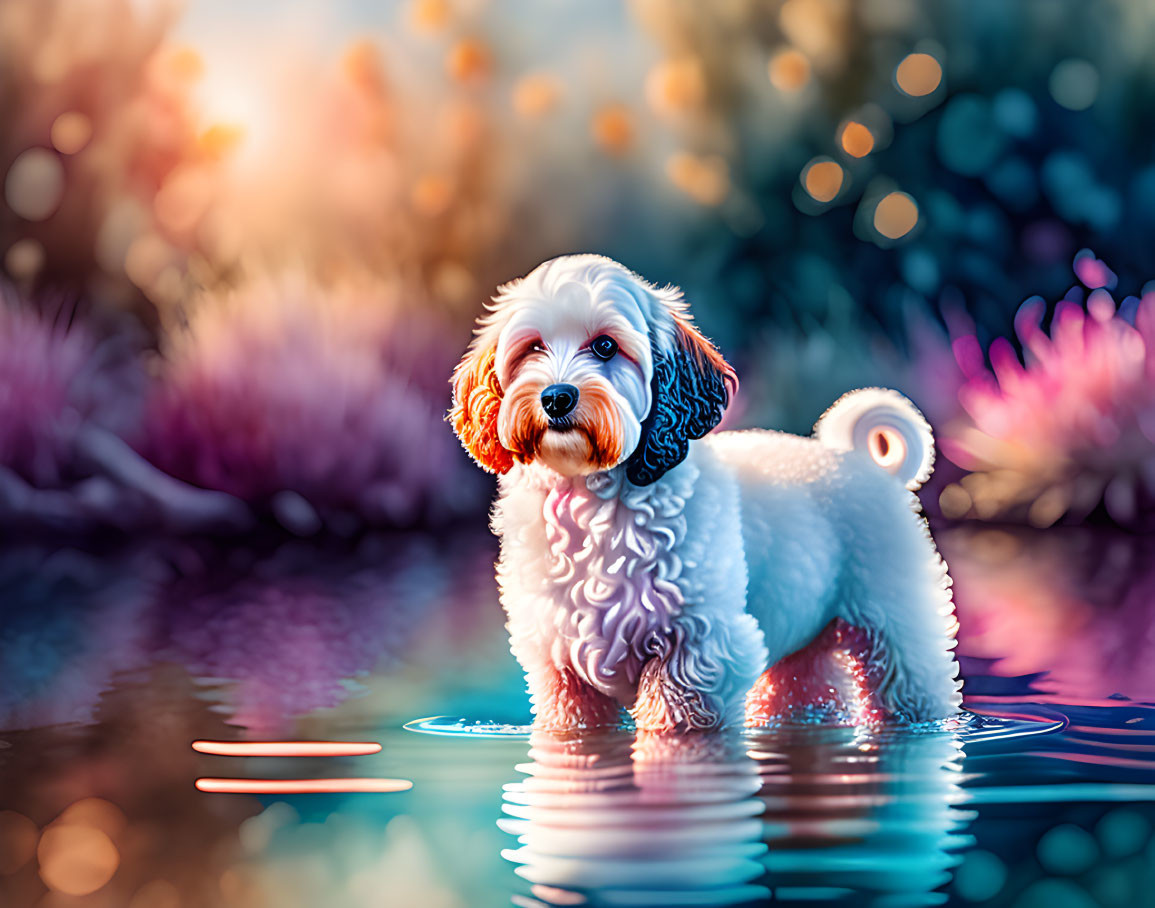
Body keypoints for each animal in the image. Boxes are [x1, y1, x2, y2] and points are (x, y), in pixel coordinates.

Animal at [445, 252, 960, 730]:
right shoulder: (561, 672)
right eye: (533, 347)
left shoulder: (700, 652)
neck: (591, 500)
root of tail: (858, 460)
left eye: (606, 346)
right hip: (800, 663)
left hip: (900, 644)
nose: (556, 397)